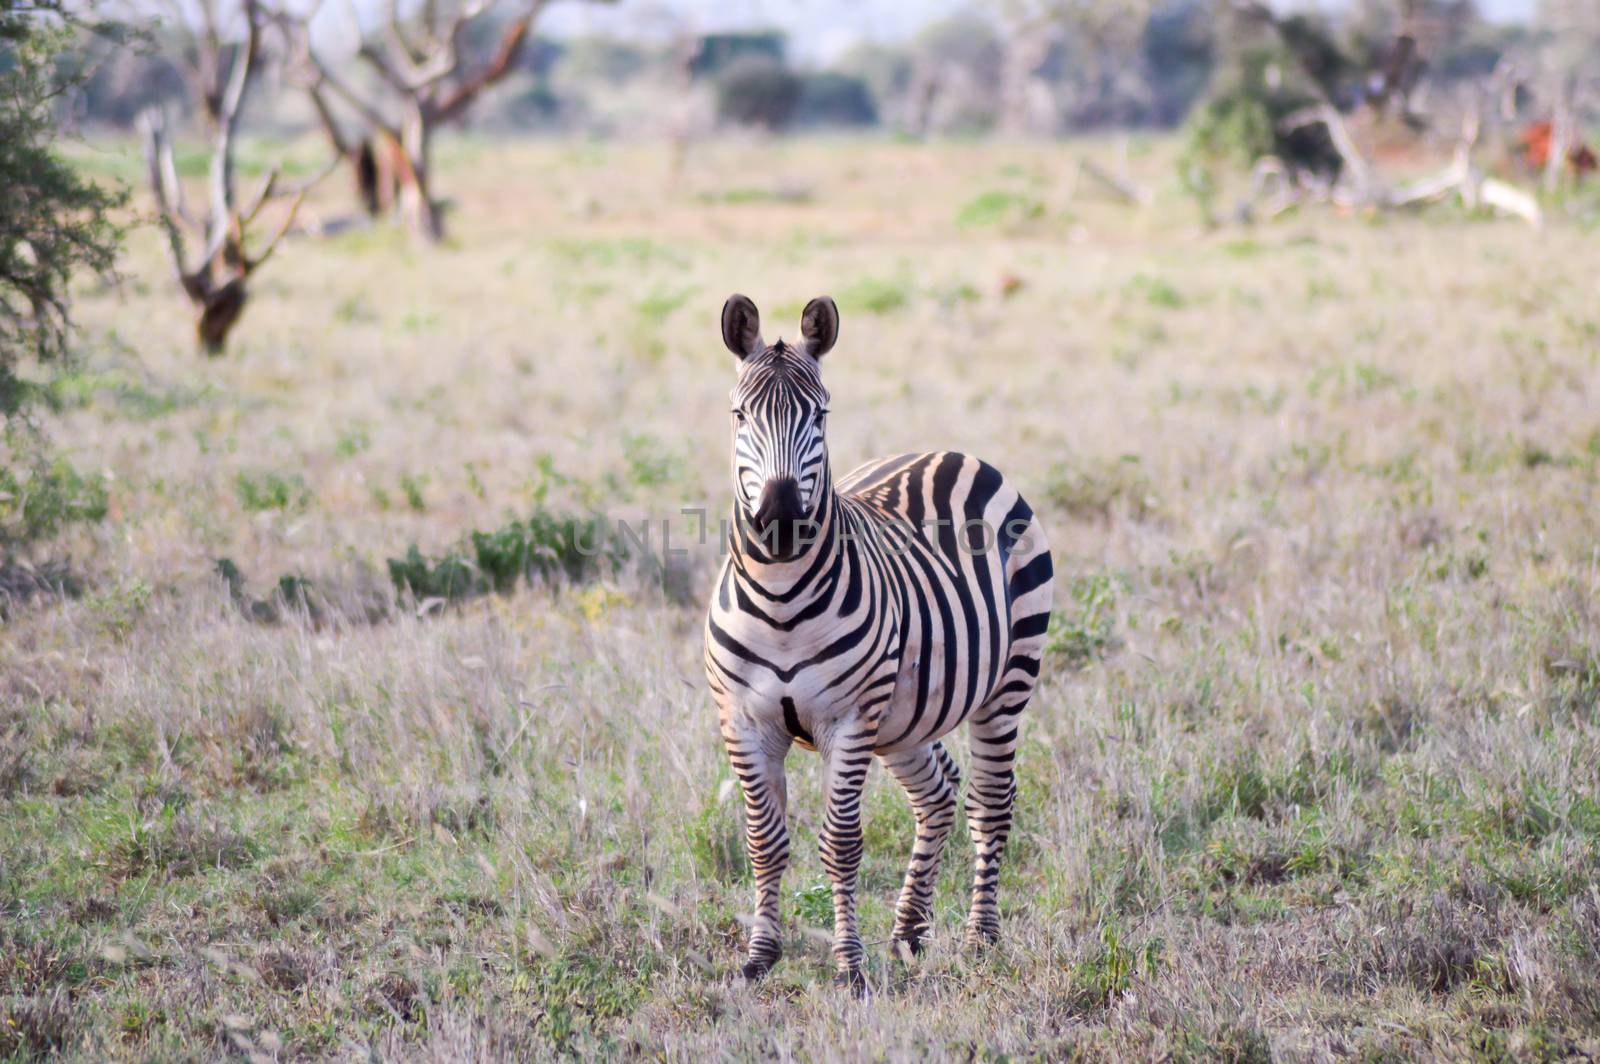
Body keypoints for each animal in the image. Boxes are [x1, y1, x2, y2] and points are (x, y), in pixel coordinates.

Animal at [700, 292, 1049, 985]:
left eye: (820, 414)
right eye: (739, 414)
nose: (780, 517)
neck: (780, 597)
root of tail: (949, 452)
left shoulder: (848, 719)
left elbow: (840, 844)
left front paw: (849, 967)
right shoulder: (743, 720)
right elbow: (764, 841)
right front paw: (759, 957)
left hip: (1007, 683)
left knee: (991, 802)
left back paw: (980, 938)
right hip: (905, 716)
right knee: (938, 793)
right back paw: (910, 932)